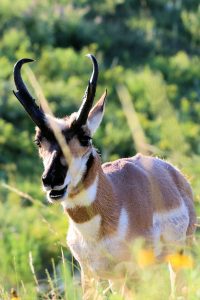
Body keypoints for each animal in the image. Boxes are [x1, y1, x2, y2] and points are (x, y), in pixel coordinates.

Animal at [13, 55, 195, 294]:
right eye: (38, 141)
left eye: (86, 138)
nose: (52, 180)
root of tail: (173, 172)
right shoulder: (90, 274)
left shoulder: (133, 272)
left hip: (178, 257)